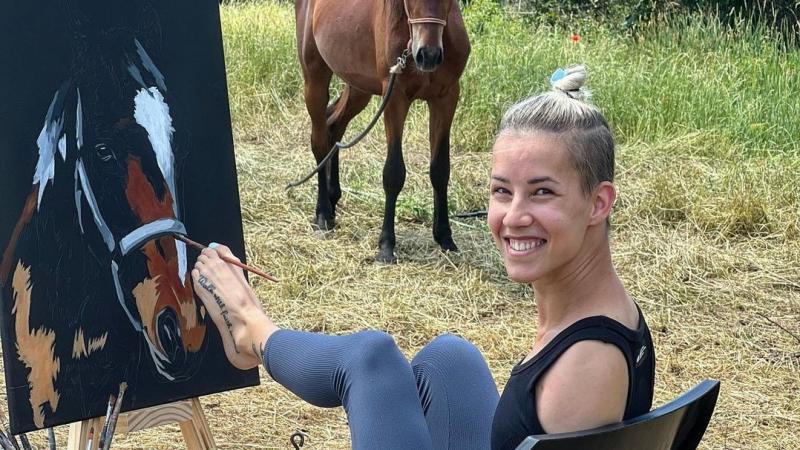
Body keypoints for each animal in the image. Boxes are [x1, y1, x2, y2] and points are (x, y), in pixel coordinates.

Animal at [294, 0, 468, 264]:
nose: (427, 55)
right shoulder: (394, 97)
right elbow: (393, 172)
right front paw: (386, 246)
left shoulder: (446, 98)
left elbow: (440, 170)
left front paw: (445, 238)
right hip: (315, 77)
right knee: (320, 141)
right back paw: (323, 214)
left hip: (358, 86)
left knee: (334, 125)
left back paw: (333, 202)